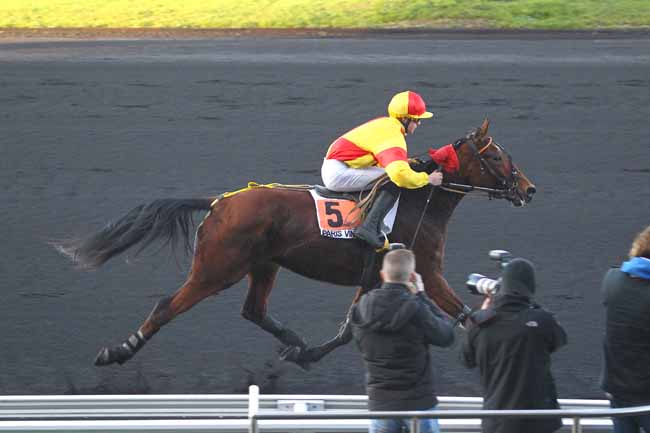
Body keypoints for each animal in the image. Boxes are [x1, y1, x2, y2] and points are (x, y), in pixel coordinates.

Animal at [55, 119, 532, 368]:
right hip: (217, 268)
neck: (420, 204)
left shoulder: (376, 276)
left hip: (264, 264)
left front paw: (310, 354)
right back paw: (118, 351)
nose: (528, 189)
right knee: (165, 306)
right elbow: (463, 311)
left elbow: (348, 328)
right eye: (495, 156)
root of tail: (219, 202)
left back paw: (295, 342)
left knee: (253, 310)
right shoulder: (427, 271)